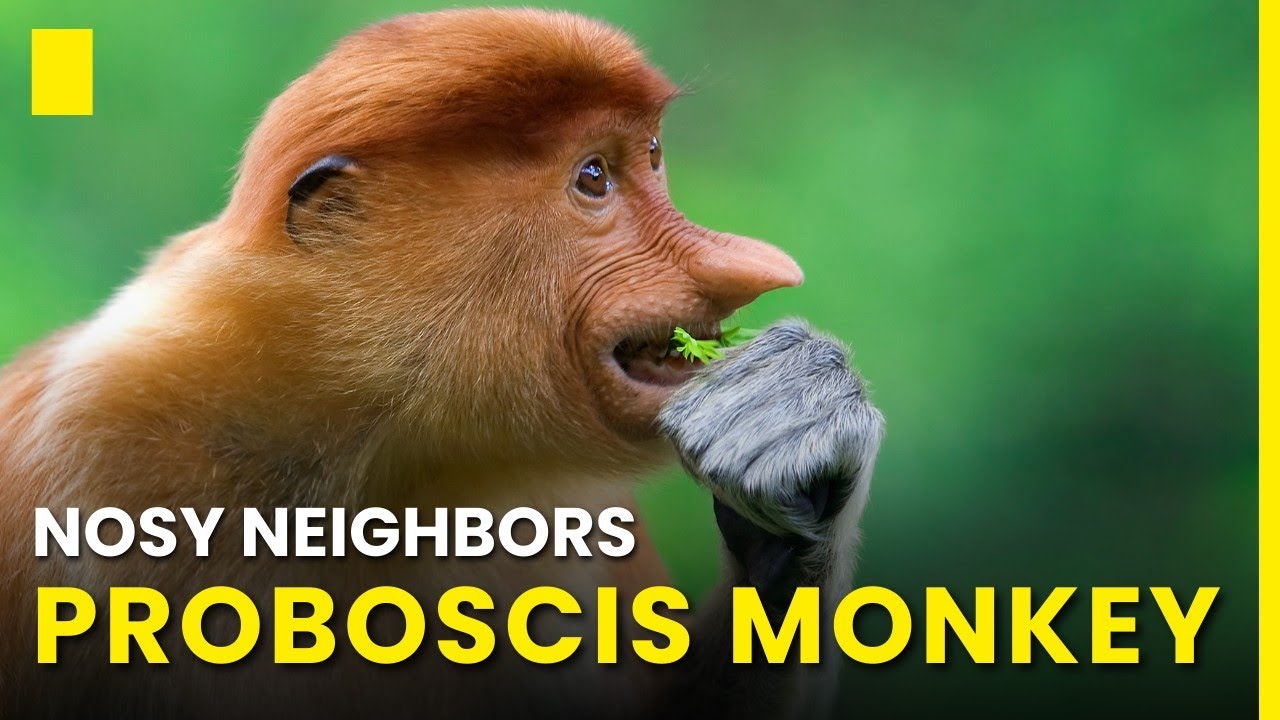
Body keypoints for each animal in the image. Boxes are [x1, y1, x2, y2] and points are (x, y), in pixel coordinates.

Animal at [0, 9, 882, 720]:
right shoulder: (94, 453)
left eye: (655, 156)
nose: (756, 267)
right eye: (594, 177)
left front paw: (794, 424)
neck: (377, 461)